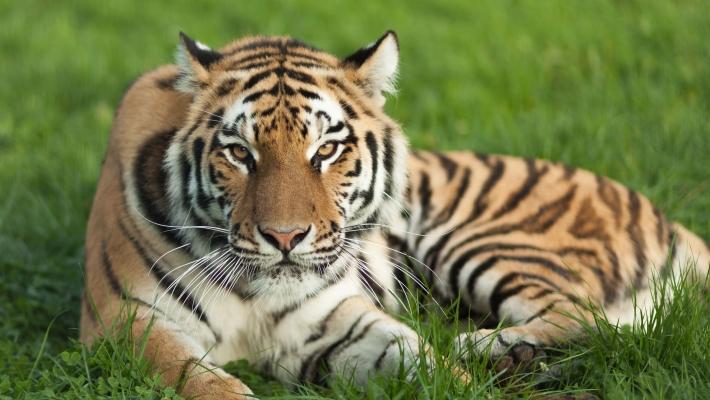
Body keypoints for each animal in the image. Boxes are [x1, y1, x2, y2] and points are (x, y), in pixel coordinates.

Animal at [80, 30, 710, 396]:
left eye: (325, 149)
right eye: (240, 153)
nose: (285, 237)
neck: (257, 293)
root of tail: (673, 221)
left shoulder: (329, 319)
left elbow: (419, 357)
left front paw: (460, 374)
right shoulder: (128, 321)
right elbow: (211, 386)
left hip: (480, 240)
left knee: (587, 315)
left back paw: (491, 348)